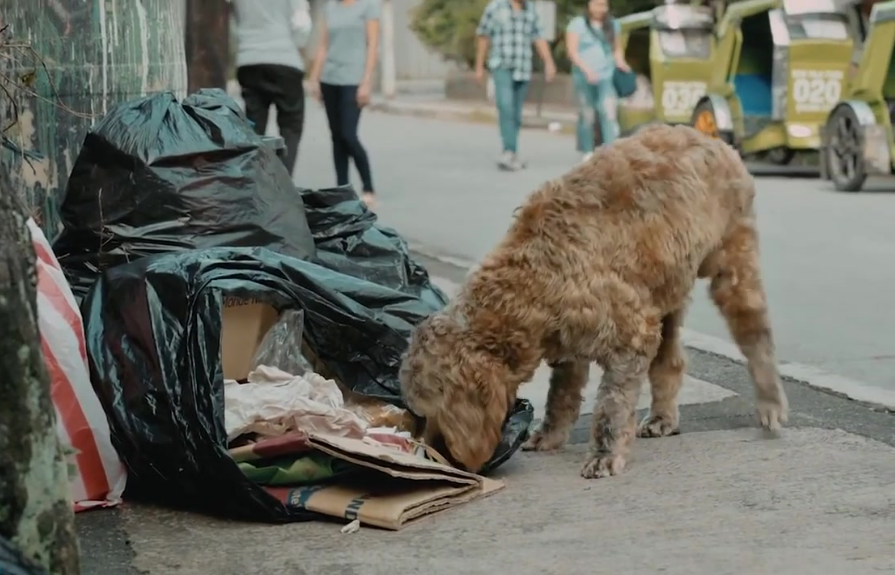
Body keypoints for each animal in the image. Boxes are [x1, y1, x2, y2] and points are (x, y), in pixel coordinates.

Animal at [402, 124, 788, 480]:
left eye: (432, 411)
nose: (435, 456)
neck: (531, 277)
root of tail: (710, 137)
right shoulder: (569, 343)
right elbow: (561, 395)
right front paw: (550, 434)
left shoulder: (631, 335)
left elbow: (610, 407)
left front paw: (605, 452)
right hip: (667, 290)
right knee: (671, 360)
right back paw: (662, 416)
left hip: (733, 265)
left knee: (756, 337)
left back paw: (770, 400)